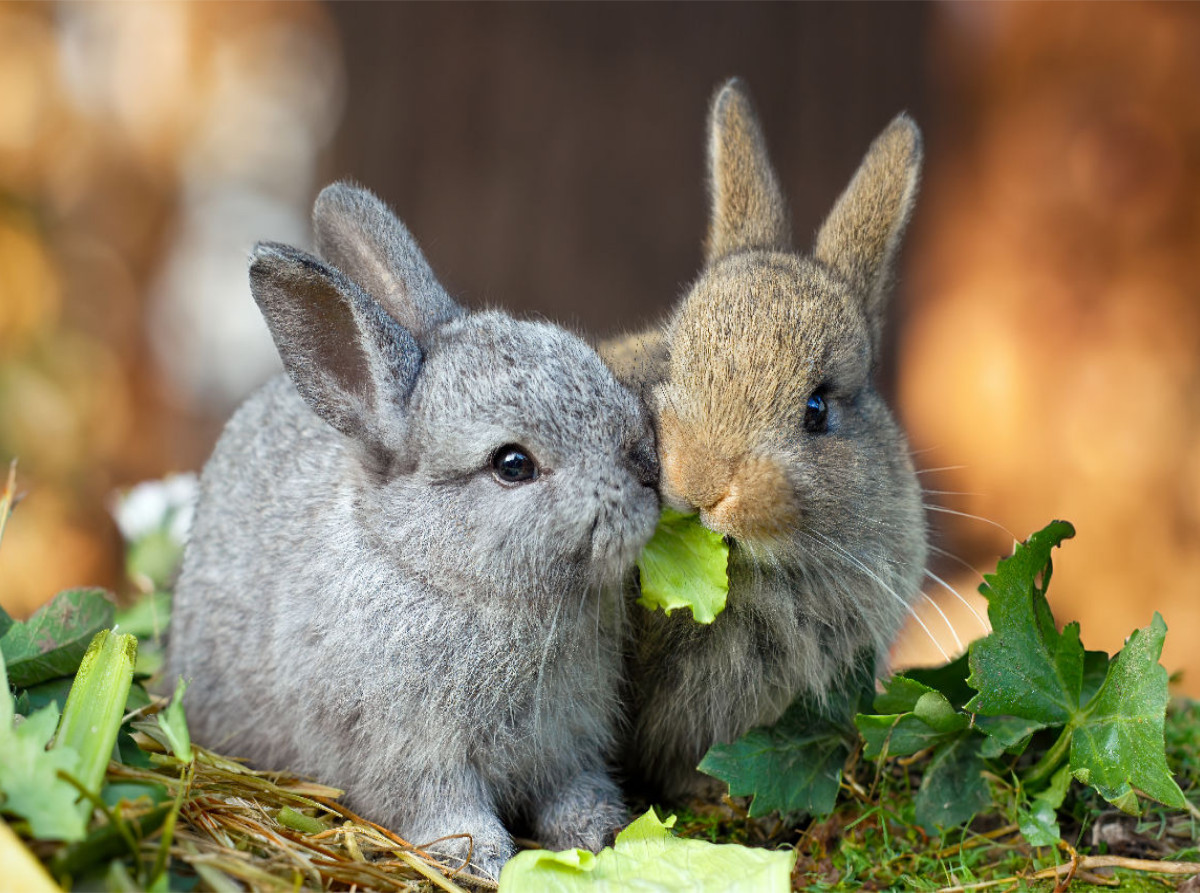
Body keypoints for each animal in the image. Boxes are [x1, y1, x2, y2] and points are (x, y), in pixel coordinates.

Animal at [165, 183, 662, 878]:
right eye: (513, 464)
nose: (648, 471)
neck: (438, 573)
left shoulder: (567, 741)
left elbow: (572, 787)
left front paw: (601, 829)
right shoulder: (411, 753)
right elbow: (444, 808)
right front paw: (480, 859)